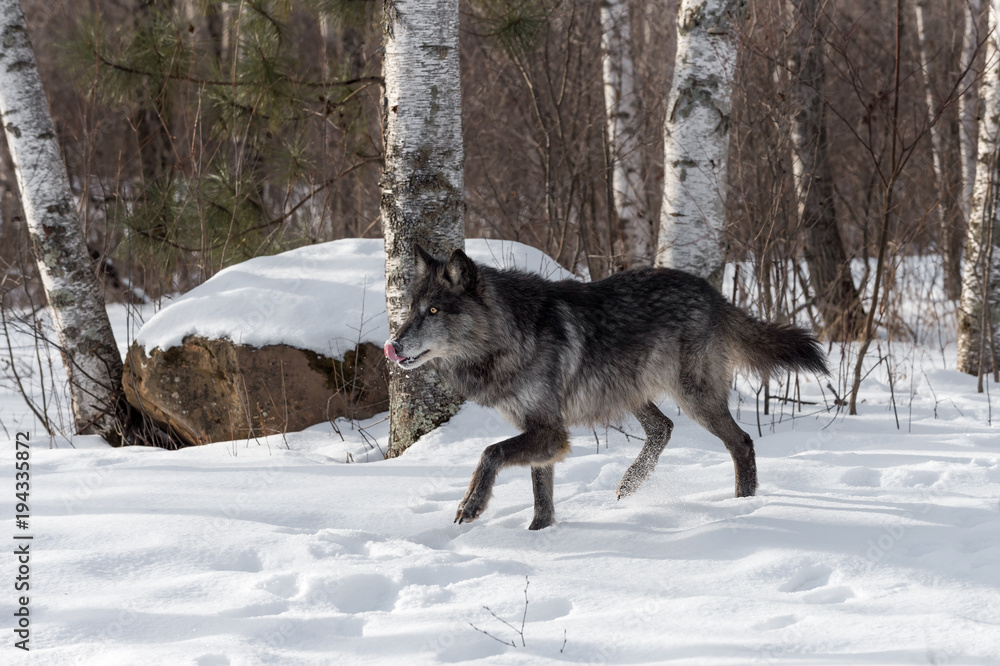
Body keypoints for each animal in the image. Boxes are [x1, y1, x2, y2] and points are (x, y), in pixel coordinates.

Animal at [384, 246, 828, 530]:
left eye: (434, 311)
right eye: (409, 310)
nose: (393, 346)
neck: (508, 335)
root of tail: (713, 293)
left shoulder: (549, 431)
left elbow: (489, 453)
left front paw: (471, 505)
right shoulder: (545, 433)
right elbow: (541, 496)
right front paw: (539, 534)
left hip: (693, 397)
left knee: (742, 442)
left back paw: (743, 505)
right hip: (630, 392)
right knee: (664, 428)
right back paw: (630, 484)